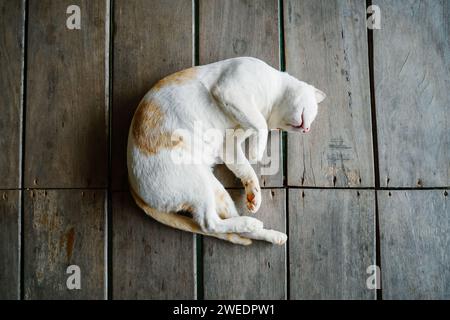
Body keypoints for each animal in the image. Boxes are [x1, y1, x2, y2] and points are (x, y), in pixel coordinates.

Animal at [126, 57, 324, 245]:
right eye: (313, 112)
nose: (306, 130)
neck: (268, 108)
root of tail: (133, 188)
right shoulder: (230, 91)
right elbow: (260, 123)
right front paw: (256, 151)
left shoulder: (229, 143)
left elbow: (245, 167)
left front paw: (254, 192)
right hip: (198, 184)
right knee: (208, 224)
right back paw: (249, 223)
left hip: (215, 190)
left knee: (225, 223)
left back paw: (269, 232)